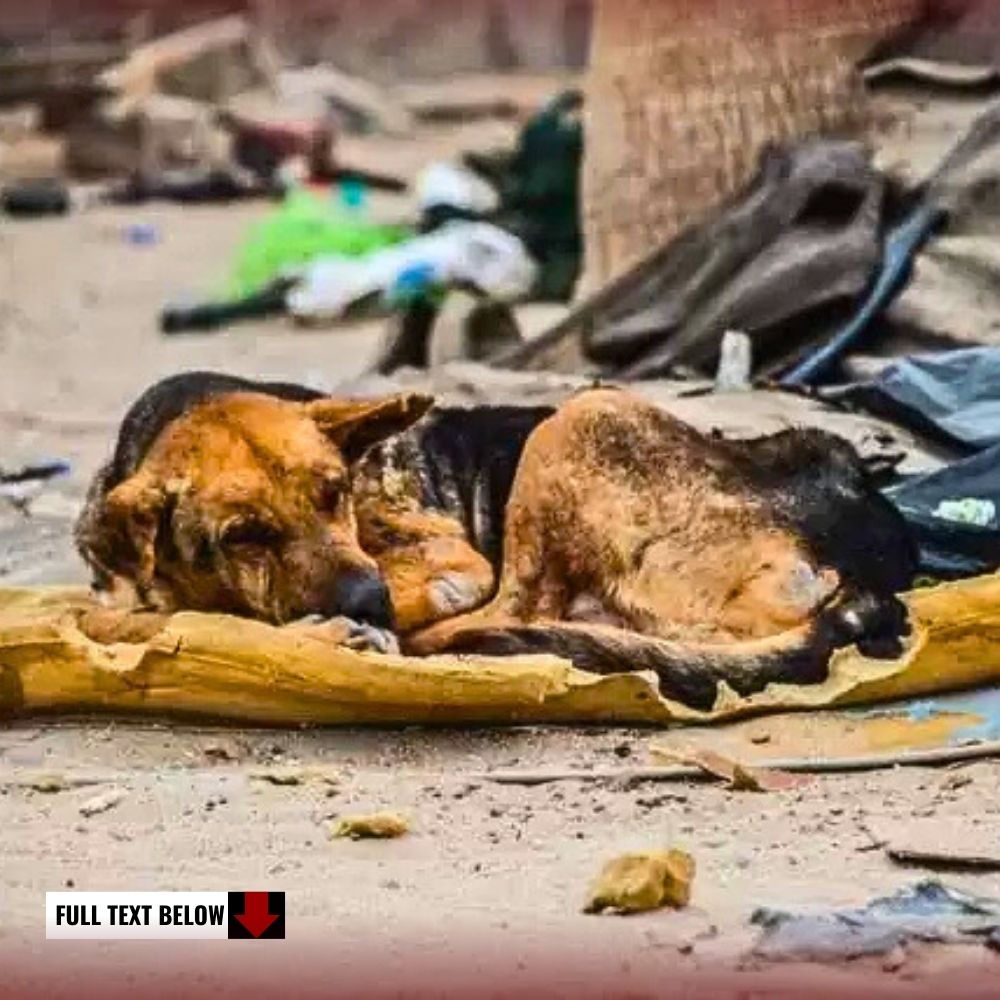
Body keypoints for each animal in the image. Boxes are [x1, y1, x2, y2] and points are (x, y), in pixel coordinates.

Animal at [78, 372, 916, 708]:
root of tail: (870, 569)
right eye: (244, 535)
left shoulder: (452, 562)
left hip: (577, 418)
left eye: (335, 491)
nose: (369, 602)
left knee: (519, 614)